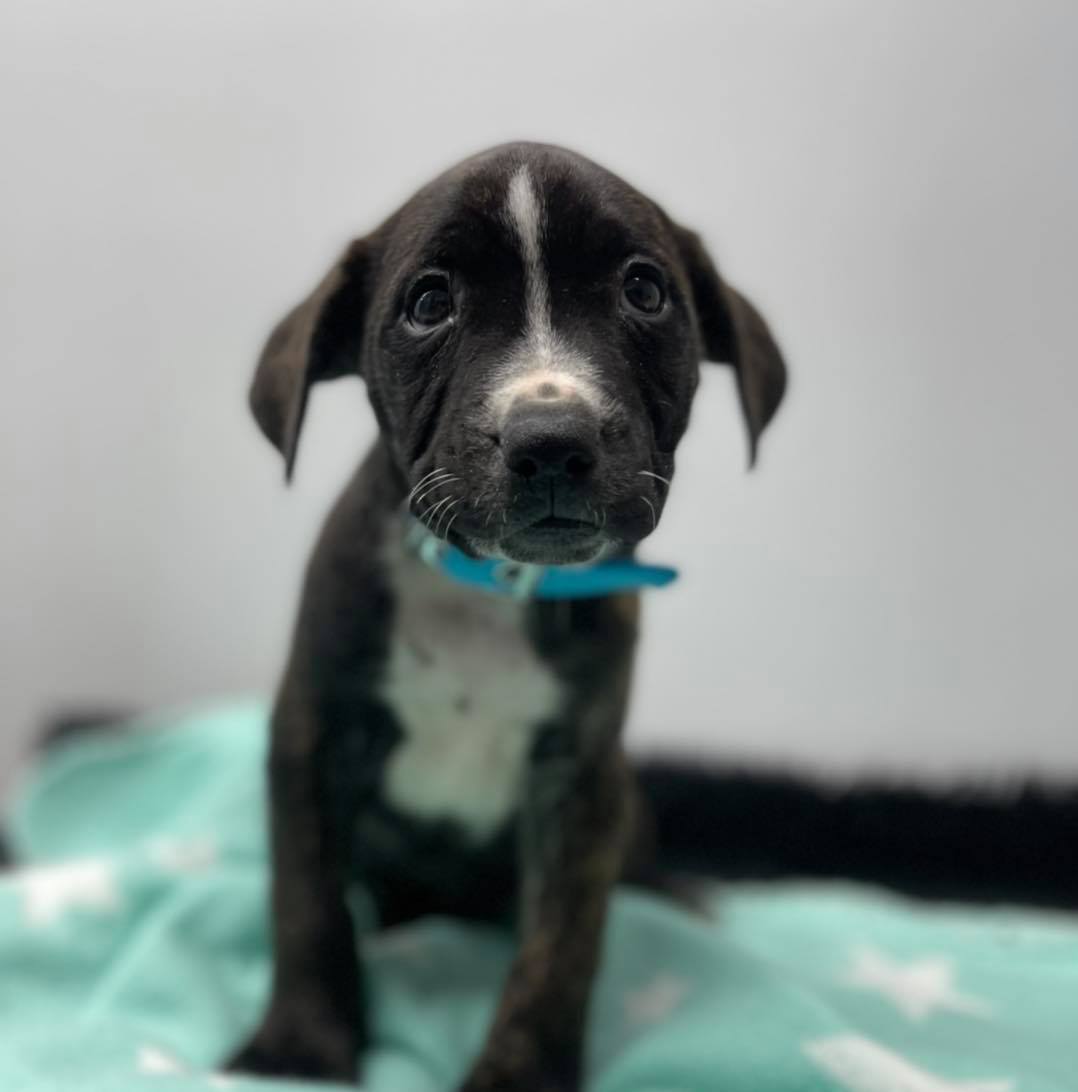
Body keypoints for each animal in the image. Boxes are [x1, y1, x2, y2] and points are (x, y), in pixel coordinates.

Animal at [229, 141, 787, 1091]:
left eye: (644, 291)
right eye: (429, 304)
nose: (551, 441)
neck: (490, 585)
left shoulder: (581, 779)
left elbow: (561, 946)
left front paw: (521, 1070)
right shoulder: (313, 729)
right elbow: (305, 897)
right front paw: (301, 1046)